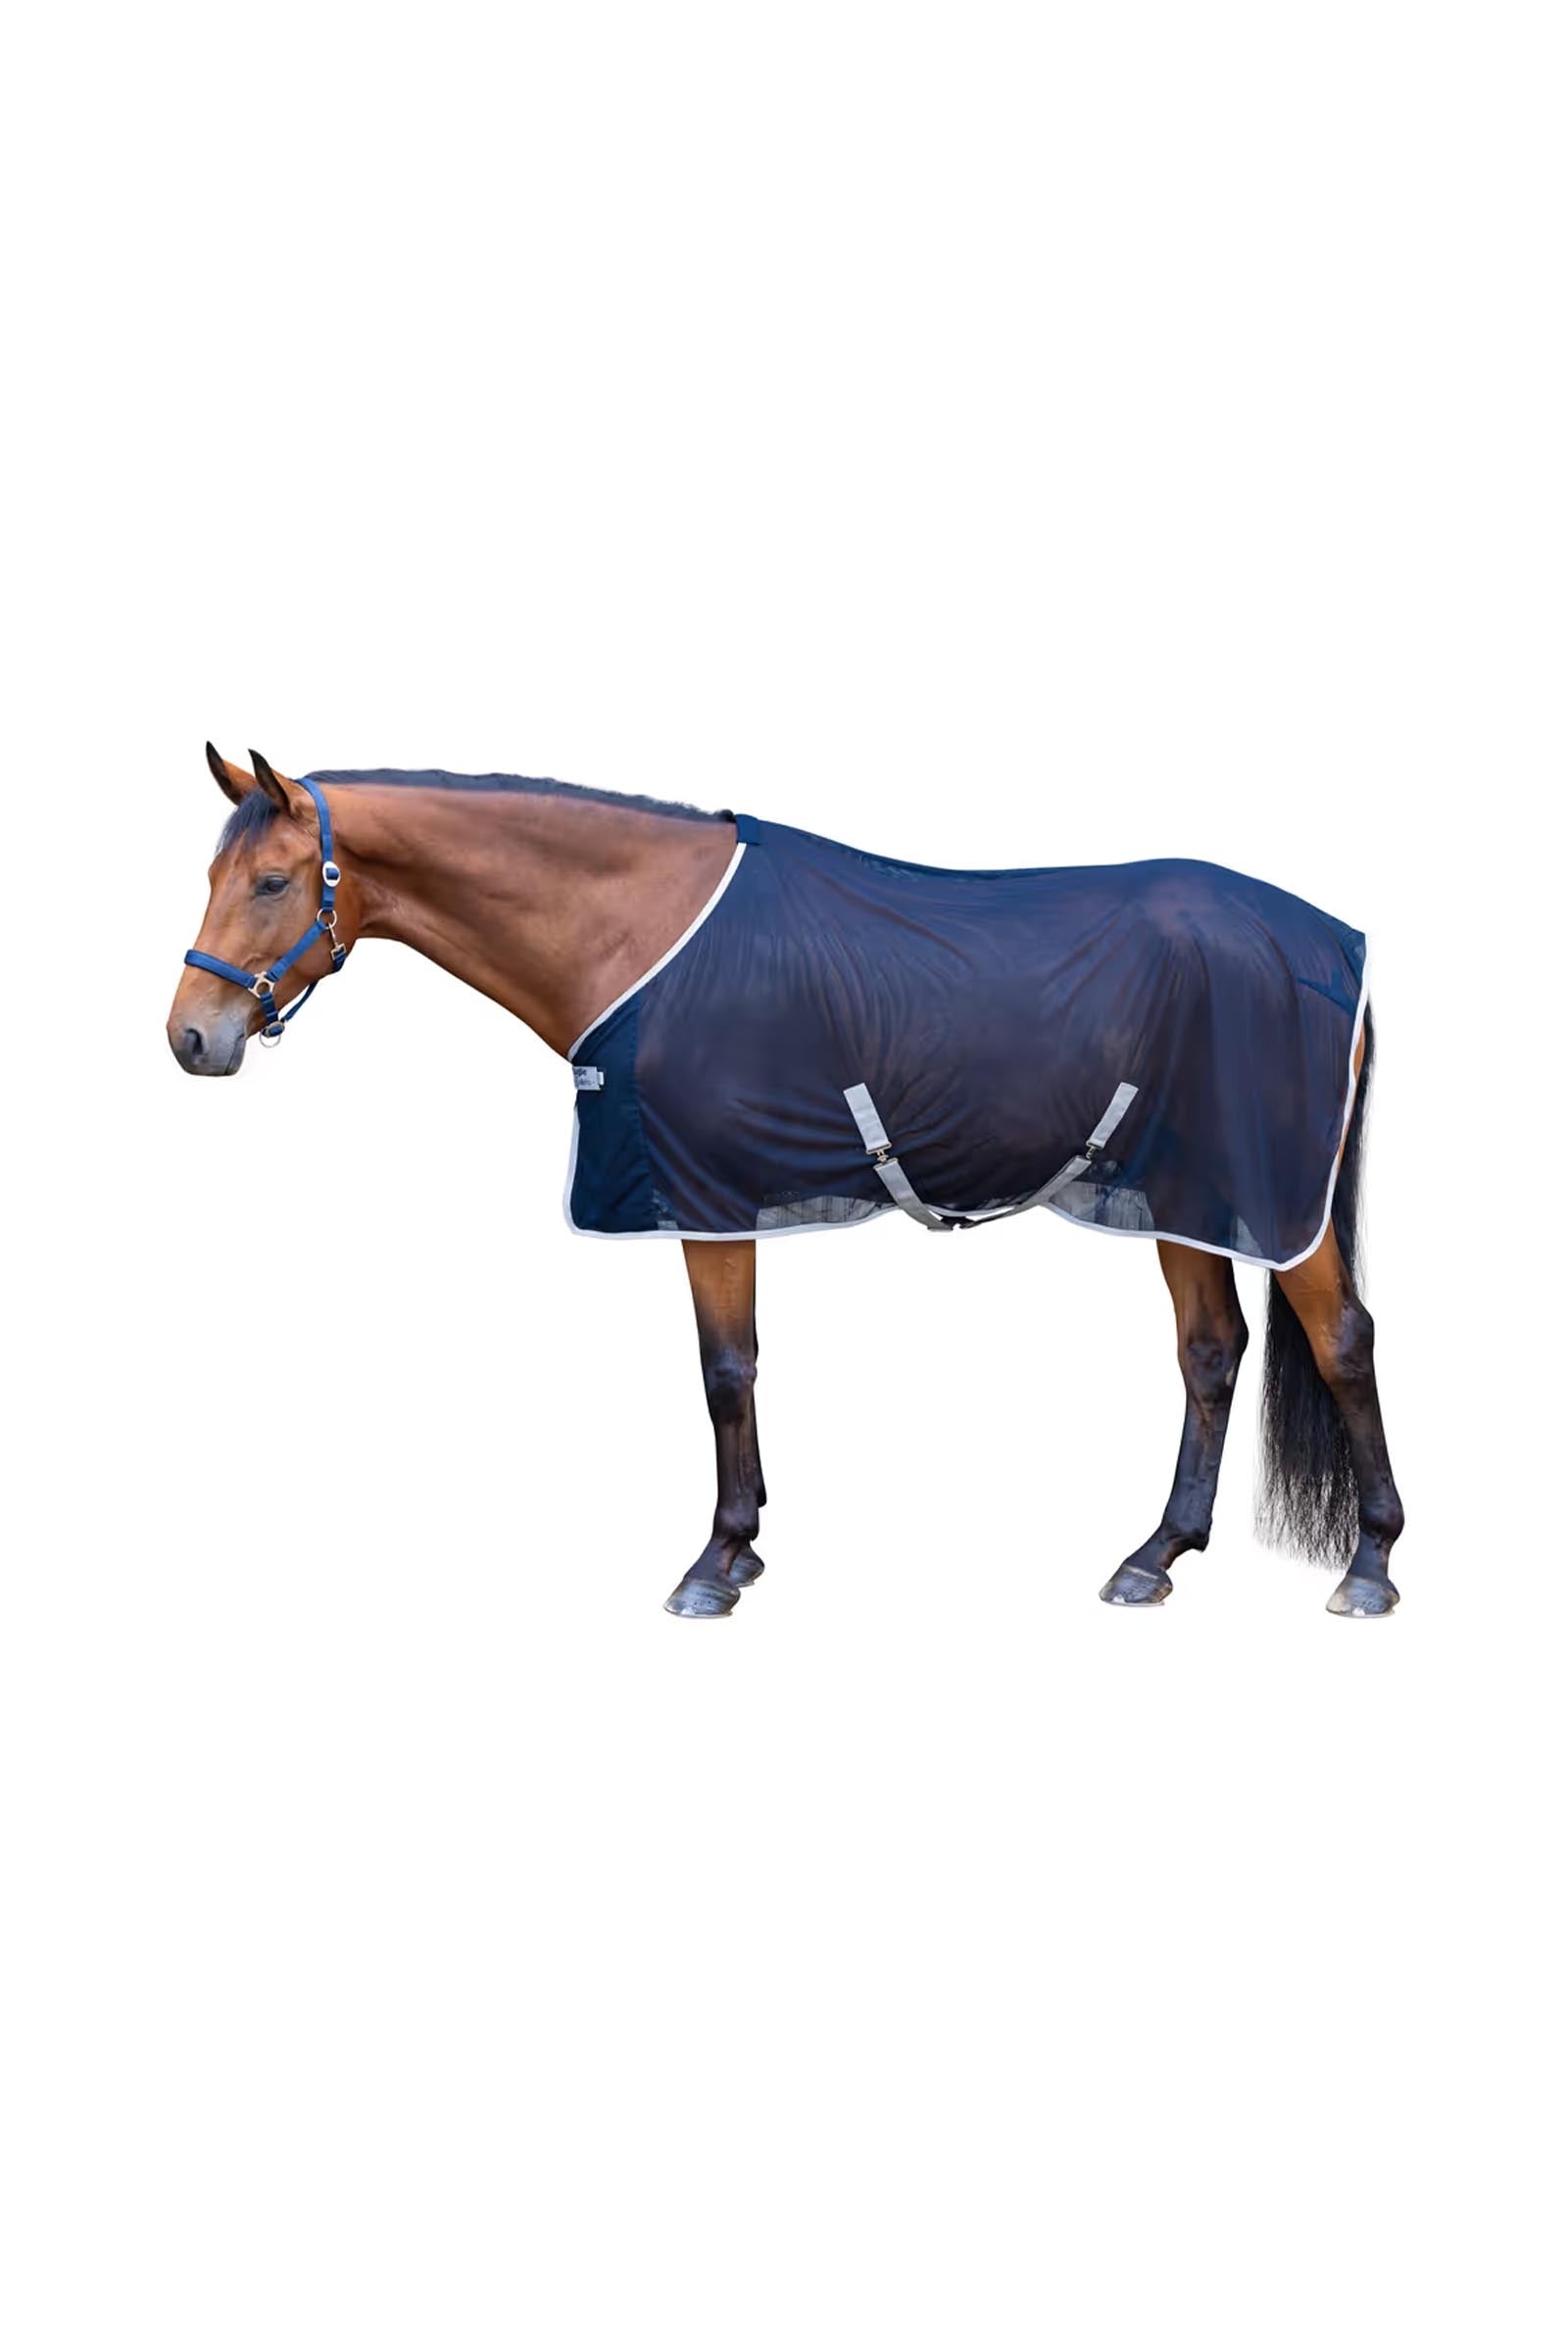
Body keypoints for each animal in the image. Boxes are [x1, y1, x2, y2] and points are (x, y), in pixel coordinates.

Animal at [168, 748, 1404, 1621]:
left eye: (272, 882)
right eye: (214, 875)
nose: (191, 1037)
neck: (640, 932)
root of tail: (1333, 945)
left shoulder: (704, 1199)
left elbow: (724, 1371)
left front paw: (716, 1560)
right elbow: (738, 1367)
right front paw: (745, 1542)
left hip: (1271, 1204)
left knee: (1339, 1338)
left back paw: (1369, 1565)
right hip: (1182, 1194)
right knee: (1210, 1351)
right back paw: (1155, 1557)